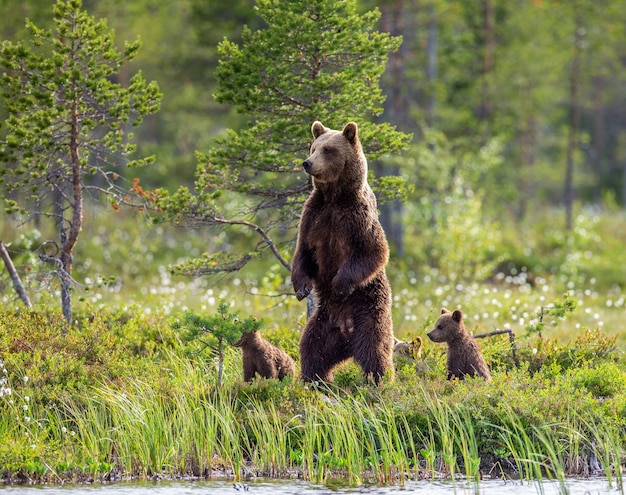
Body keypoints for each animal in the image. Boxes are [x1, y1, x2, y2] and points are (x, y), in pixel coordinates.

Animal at [292, 122, 390, 386]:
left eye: (328, 150)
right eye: (313, 147)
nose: (307, 163)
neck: (334, 198)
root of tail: (346, 335)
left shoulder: (356, 218)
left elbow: (374, 252)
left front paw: (339, 284)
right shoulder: (313, 216)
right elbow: (303, 253)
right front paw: (302, 288)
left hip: (369, 313)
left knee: (375, 350)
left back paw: (380, 381)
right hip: (323, 323)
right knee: (312, 349)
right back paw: (314, 380)